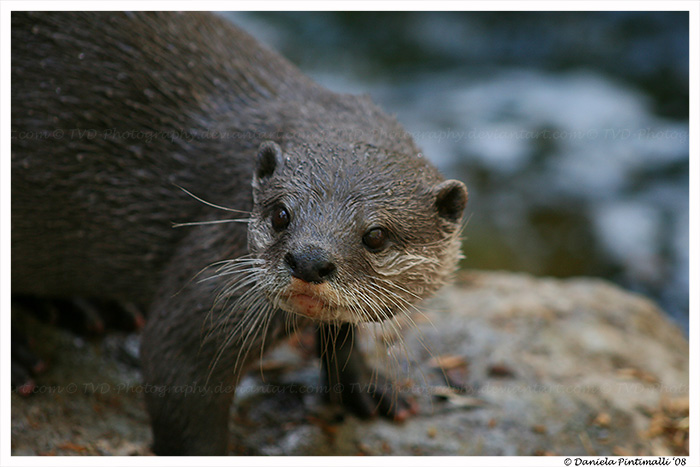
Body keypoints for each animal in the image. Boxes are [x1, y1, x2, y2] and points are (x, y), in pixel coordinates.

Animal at [10, 11, 468, 458]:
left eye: (375, 236)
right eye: (281, 214)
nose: (309, 261)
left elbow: (342, 330)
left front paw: (367, 388)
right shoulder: (207, 287)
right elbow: (178, 378)